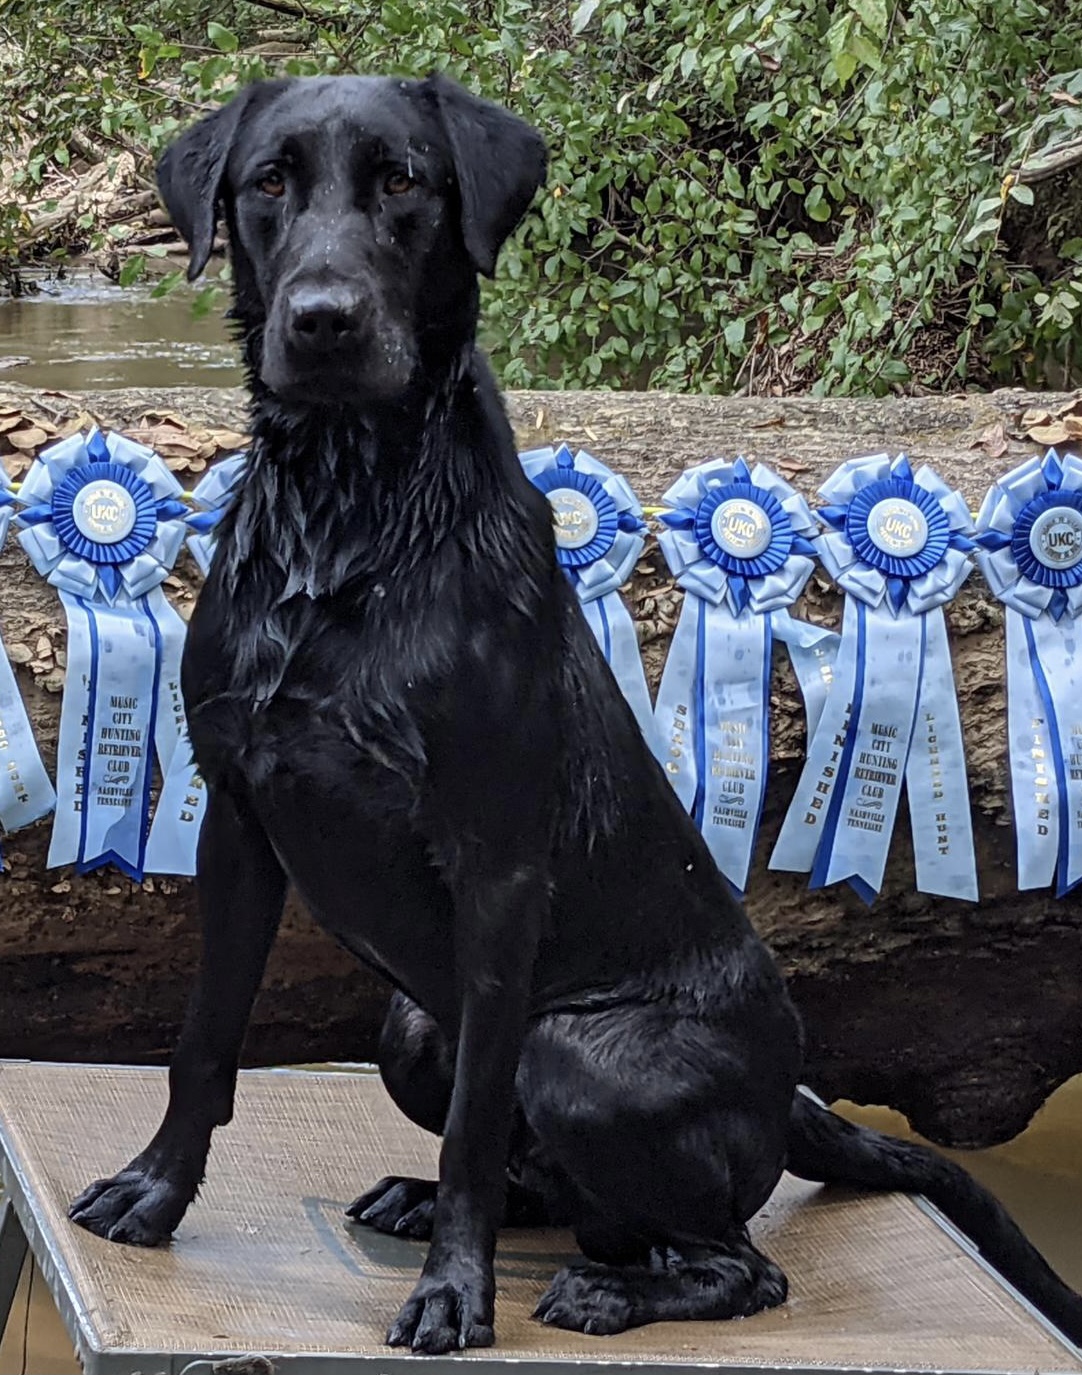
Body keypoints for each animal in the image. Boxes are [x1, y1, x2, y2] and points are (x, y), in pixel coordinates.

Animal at [67, 75, 1082, 1353]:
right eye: (268, 181)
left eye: (403, 179)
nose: (323, 321)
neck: (347, 520)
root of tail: (788, 1094)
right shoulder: (241, 822)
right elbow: (204, 1044)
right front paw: (154, 1195)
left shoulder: (497, 865)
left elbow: (469, 1123)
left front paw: (454, 1293)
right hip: (409, 1024)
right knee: (559, 1188)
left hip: (579, 1055)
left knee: (732, 1258)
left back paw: (609, 1285)